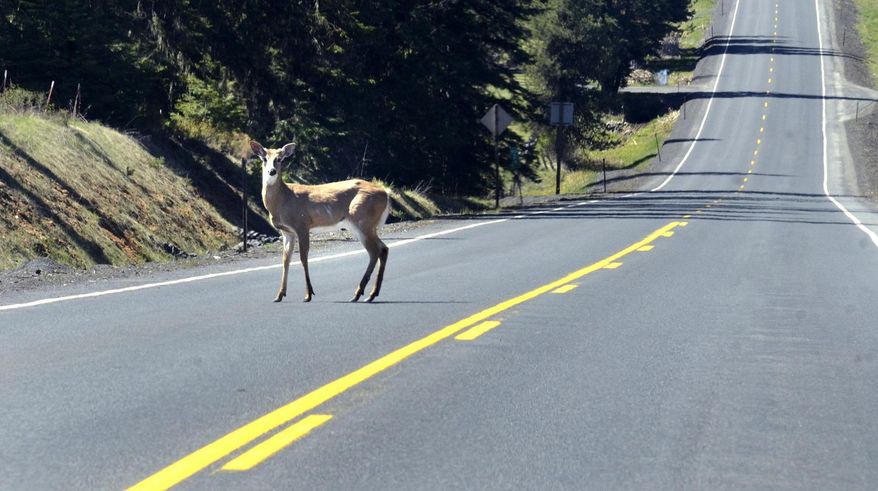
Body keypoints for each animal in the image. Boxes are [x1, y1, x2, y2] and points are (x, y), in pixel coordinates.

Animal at [250, 141, 391, 303]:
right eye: (264, 158)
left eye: (280, 159)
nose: (272, 171)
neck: (282, 200)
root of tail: (386, 194)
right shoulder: (287, 232)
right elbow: (286, 260)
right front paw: (279, 295)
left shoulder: (302, 224)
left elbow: (303, 257)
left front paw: (308, 294)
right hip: (366, 225)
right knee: (384, 249)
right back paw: (371, 294)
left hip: (362, 220)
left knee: (374, 251)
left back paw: (359, 294)